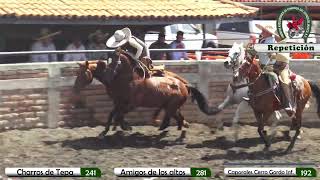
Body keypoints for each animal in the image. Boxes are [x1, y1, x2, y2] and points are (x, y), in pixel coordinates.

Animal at [73, 52, 219, 137]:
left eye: (82, 74)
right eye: (77, 73)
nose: (75, 88)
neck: (125, 79)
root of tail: (185, 85)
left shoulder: (129, 104)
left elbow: (118, 115)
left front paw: (126, 127)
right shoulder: (119, 102)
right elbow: (113, 114)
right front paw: (106, 130)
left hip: (171, 106)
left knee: (172, 117)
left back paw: (167, 127)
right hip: (170, 106)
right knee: (177, 117)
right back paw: (176, 128)